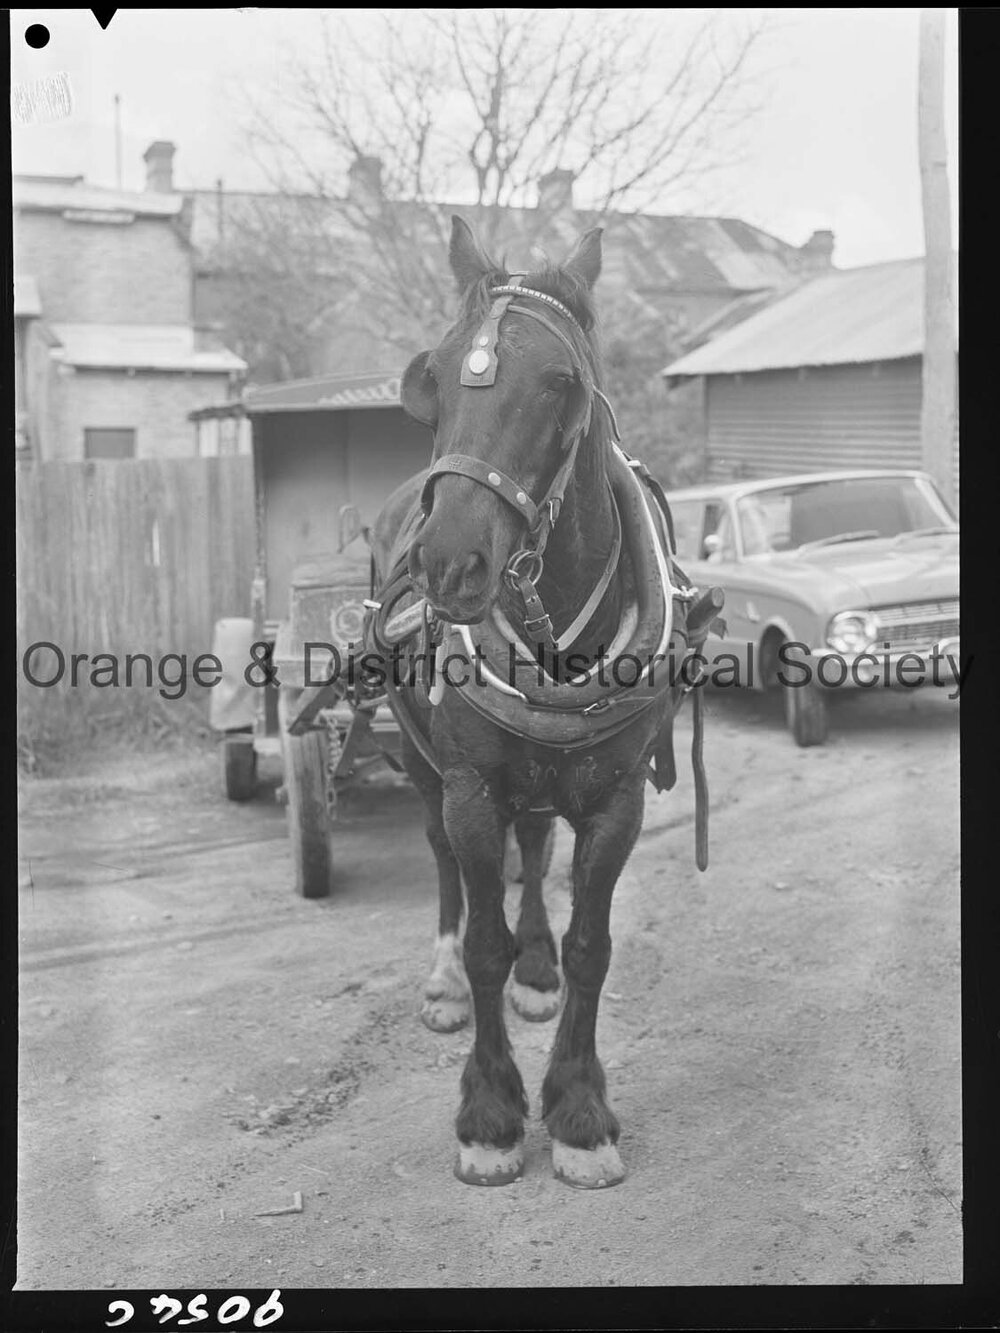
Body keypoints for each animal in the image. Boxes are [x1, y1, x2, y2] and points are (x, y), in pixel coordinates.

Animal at [367, 216, 721, 1189]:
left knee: (534, 841)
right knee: (444, 861)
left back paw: (535, 972)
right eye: (437, 373)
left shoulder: (618, 797)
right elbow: (481, 930)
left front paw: (579, 1110)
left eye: (561, 383)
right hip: (423, 764)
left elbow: (591, 944)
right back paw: (445, 980)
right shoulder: (470, 789)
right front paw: (489, 1114)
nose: (449, 563)